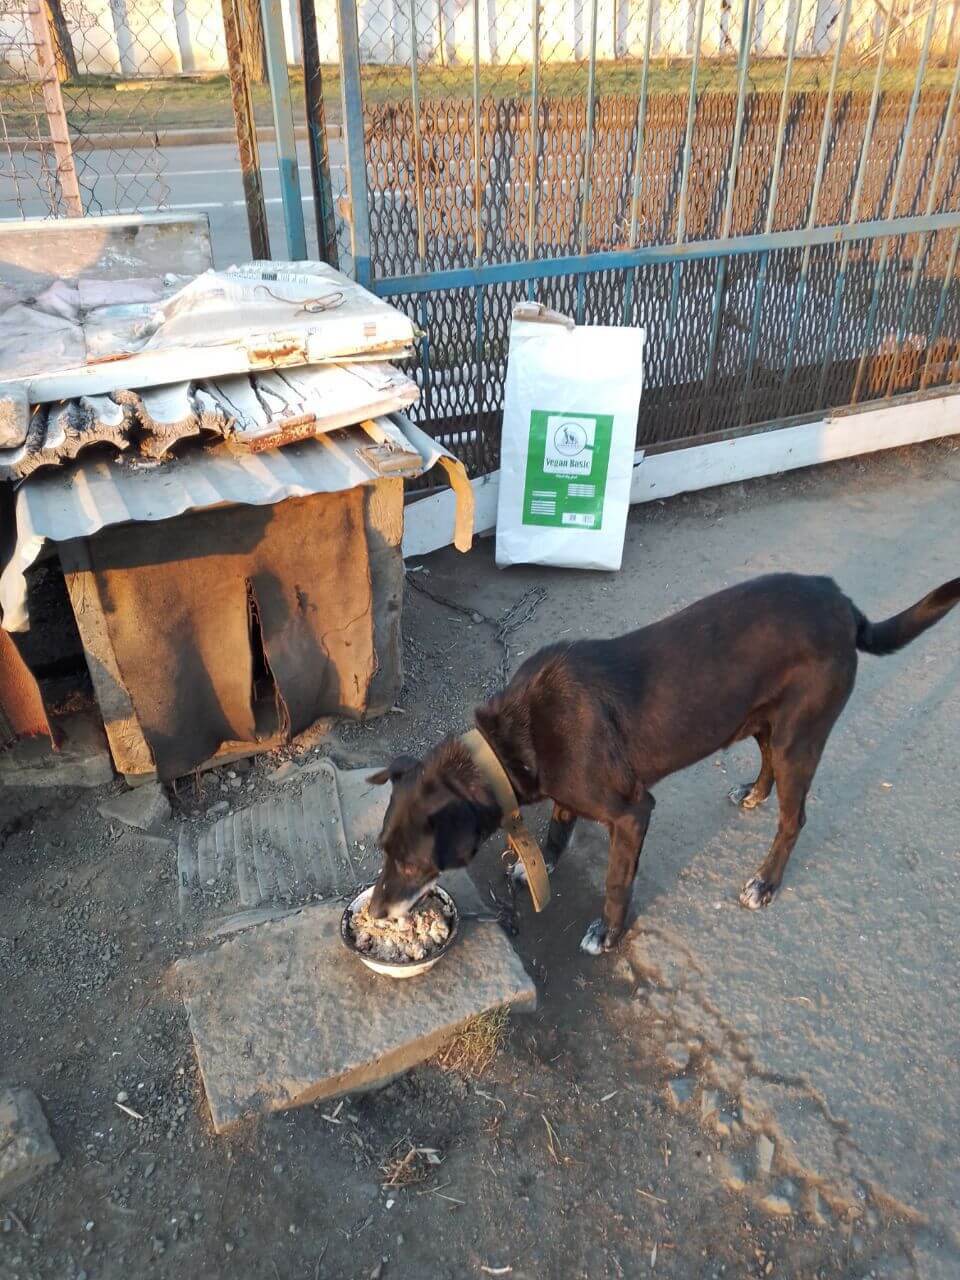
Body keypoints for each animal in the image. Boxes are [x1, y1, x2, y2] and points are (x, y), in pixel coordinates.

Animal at [363, 576, 957, 957]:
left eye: (413, 866)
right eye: (384, 851)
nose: (376, 910)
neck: (508, 740)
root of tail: (843, 605)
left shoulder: (632, 813)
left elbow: (616, 883)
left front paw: (607, 934)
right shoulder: (564, 796)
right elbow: (556, 832)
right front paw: (540, 864)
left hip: (800, 738)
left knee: (795, 820)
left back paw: (764, 883)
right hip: (761, 721)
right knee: (766, 763)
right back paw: (754, 792)